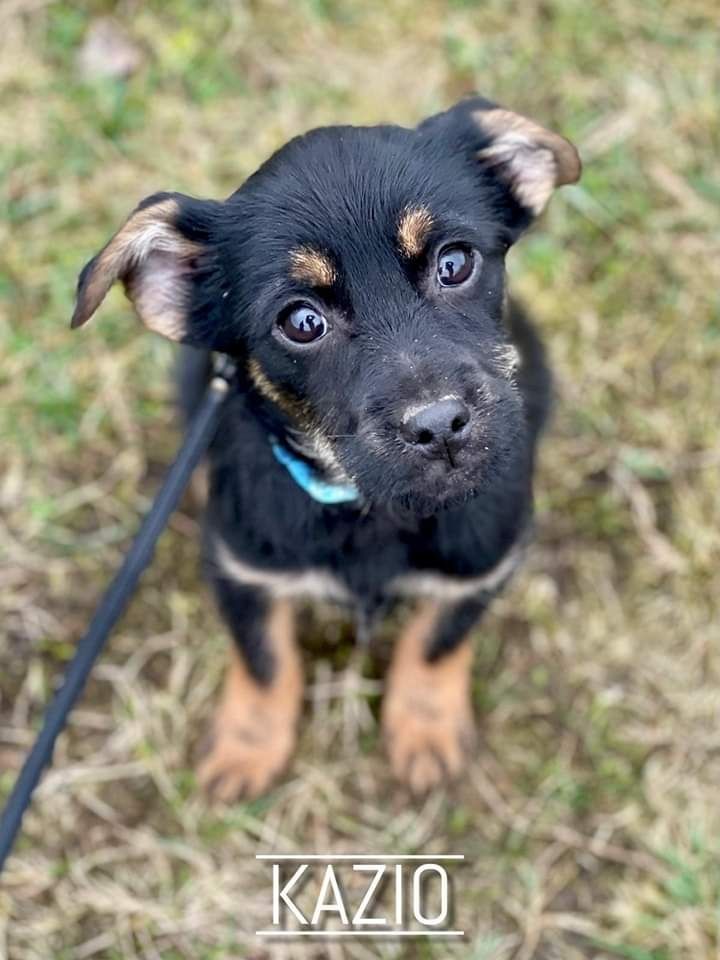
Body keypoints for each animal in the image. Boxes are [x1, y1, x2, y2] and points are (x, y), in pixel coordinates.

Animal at [71, 94, 580, 800]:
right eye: (302, 322)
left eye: (455, 263)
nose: (441, 425)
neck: (371, 510)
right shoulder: (245, 571)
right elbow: (264, 660)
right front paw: (246, 750)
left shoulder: (483, 565)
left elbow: (436, 643)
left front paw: (425, 732)